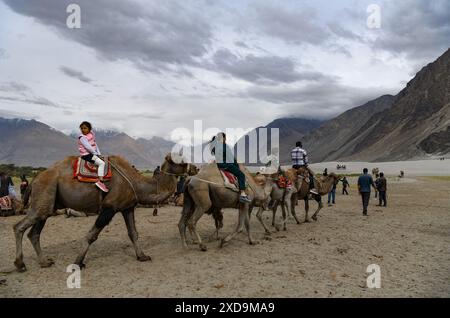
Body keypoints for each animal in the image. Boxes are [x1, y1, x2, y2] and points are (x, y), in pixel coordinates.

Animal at [11, 153, 195, 270]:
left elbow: (133, 233)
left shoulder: (127, 207)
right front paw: (78, 262)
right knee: (19, 227)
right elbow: (91, 235)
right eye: (180, 160)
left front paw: (142, 256)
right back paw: (20, 264)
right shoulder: (109, 207)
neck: (136, 182)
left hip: (48, 203)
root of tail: (35, 179)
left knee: (34, 232)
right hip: (45, 193)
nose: (194, 168)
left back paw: (44, 262)